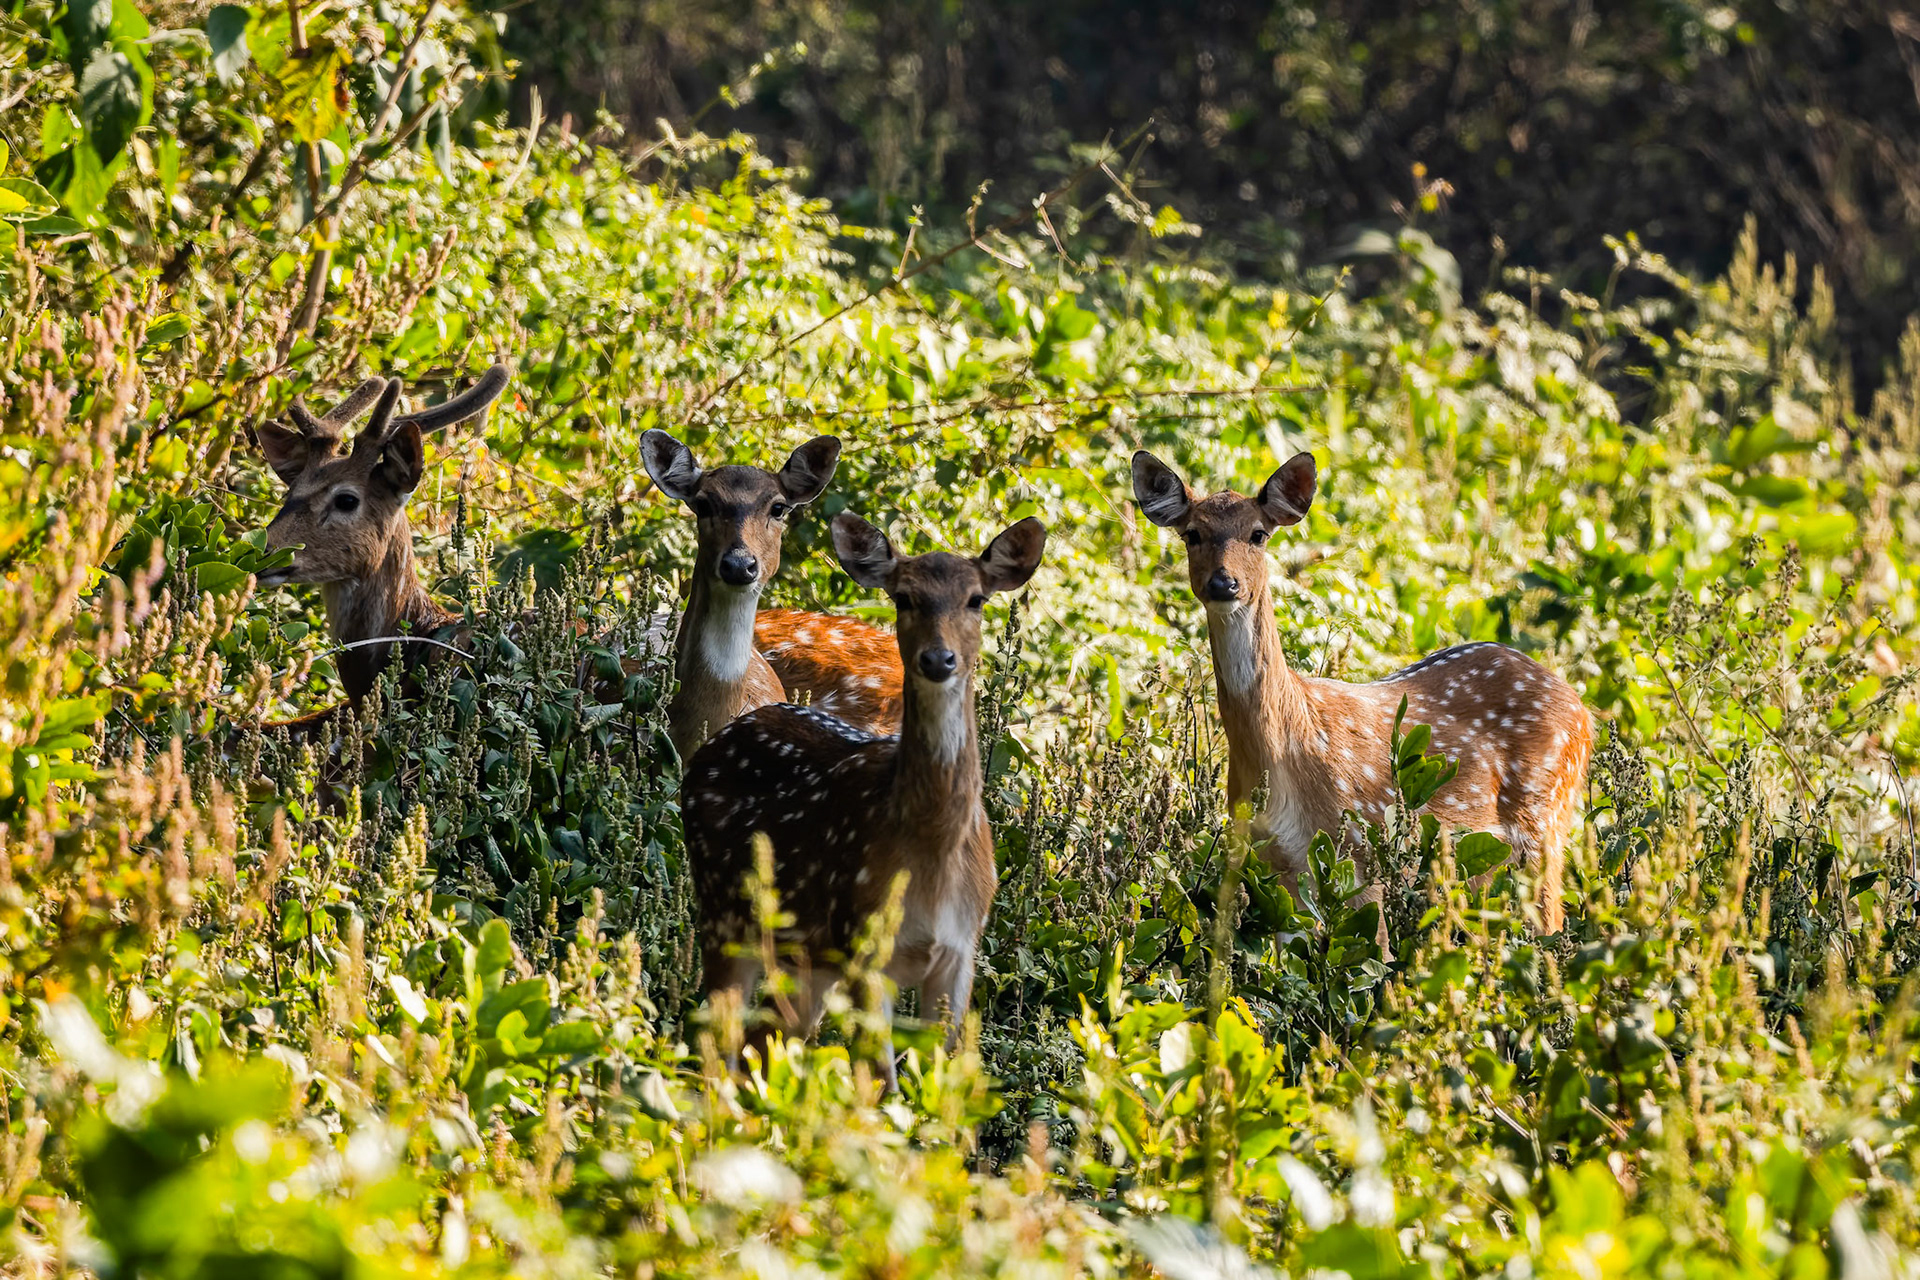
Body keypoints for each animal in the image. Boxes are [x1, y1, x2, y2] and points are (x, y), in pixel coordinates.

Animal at [680, 511, 1046, 1089]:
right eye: (904, 597)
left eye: (976, 599)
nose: (938, 658)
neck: (933, 852)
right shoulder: (864, 947)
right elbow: (879, 1084)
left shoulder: (961, 951)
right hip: (726, 912)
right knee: (718, 1043)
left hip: (807, 957)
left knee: (764, 1041)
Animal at [1131, 449, 1591, 933]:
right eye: (1192, 534)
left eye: (1258, 534)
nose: (1224, 583)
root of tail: (1583, 710)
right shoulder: (1273, 866)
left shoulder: (1361, 850)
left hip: (1545, 821)